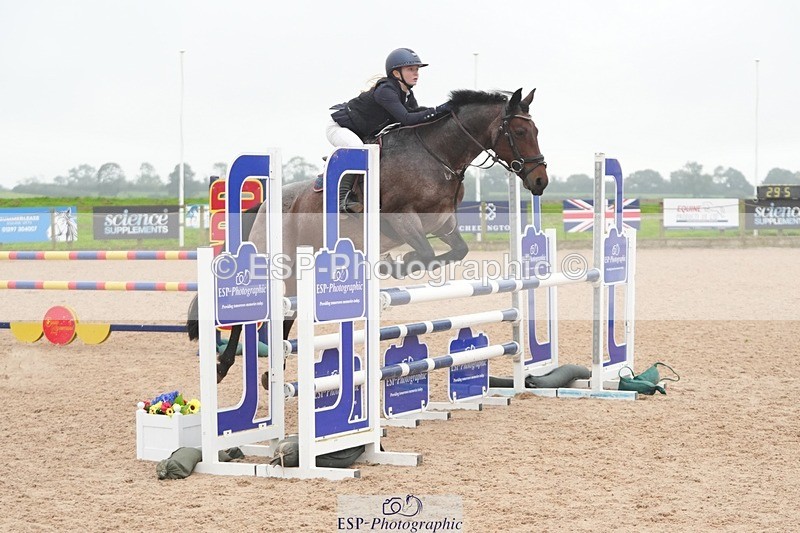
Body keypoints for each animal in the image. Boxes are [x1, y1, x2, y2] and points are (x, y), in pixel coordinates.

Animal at [187, 87, 549, 386]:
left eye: (535, 131)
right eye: (519, 131)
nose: (540, 181)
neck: (438, 155)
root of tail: (263, 204)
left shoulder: (443, 224)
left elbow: (456, 251)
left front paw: (395, 262)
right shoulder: (403, 219)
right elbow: (426, 254)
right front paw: (396, 264)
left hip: (293, 275)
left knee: (285, 317)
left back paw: (270, 376)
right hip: (274, 263)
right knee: (249, 314)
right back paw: (222, 365)